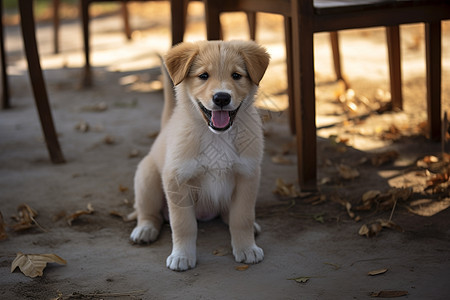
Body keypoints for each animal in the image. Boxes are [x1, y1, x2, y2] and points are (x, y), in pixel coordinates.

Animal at [130, 38, 270, 270]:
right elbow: (183, 224)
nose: (221, 98)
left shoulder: (247, 175)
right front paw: (182, 256)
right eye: (203, 76)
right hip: (147, 177)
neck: (217, 137)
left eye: (236, 75)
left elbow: (242, 218)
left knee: (229, 214)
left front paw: (246, 248)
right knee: (149, 212)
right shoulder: (176, 180)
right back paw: (145, 229)